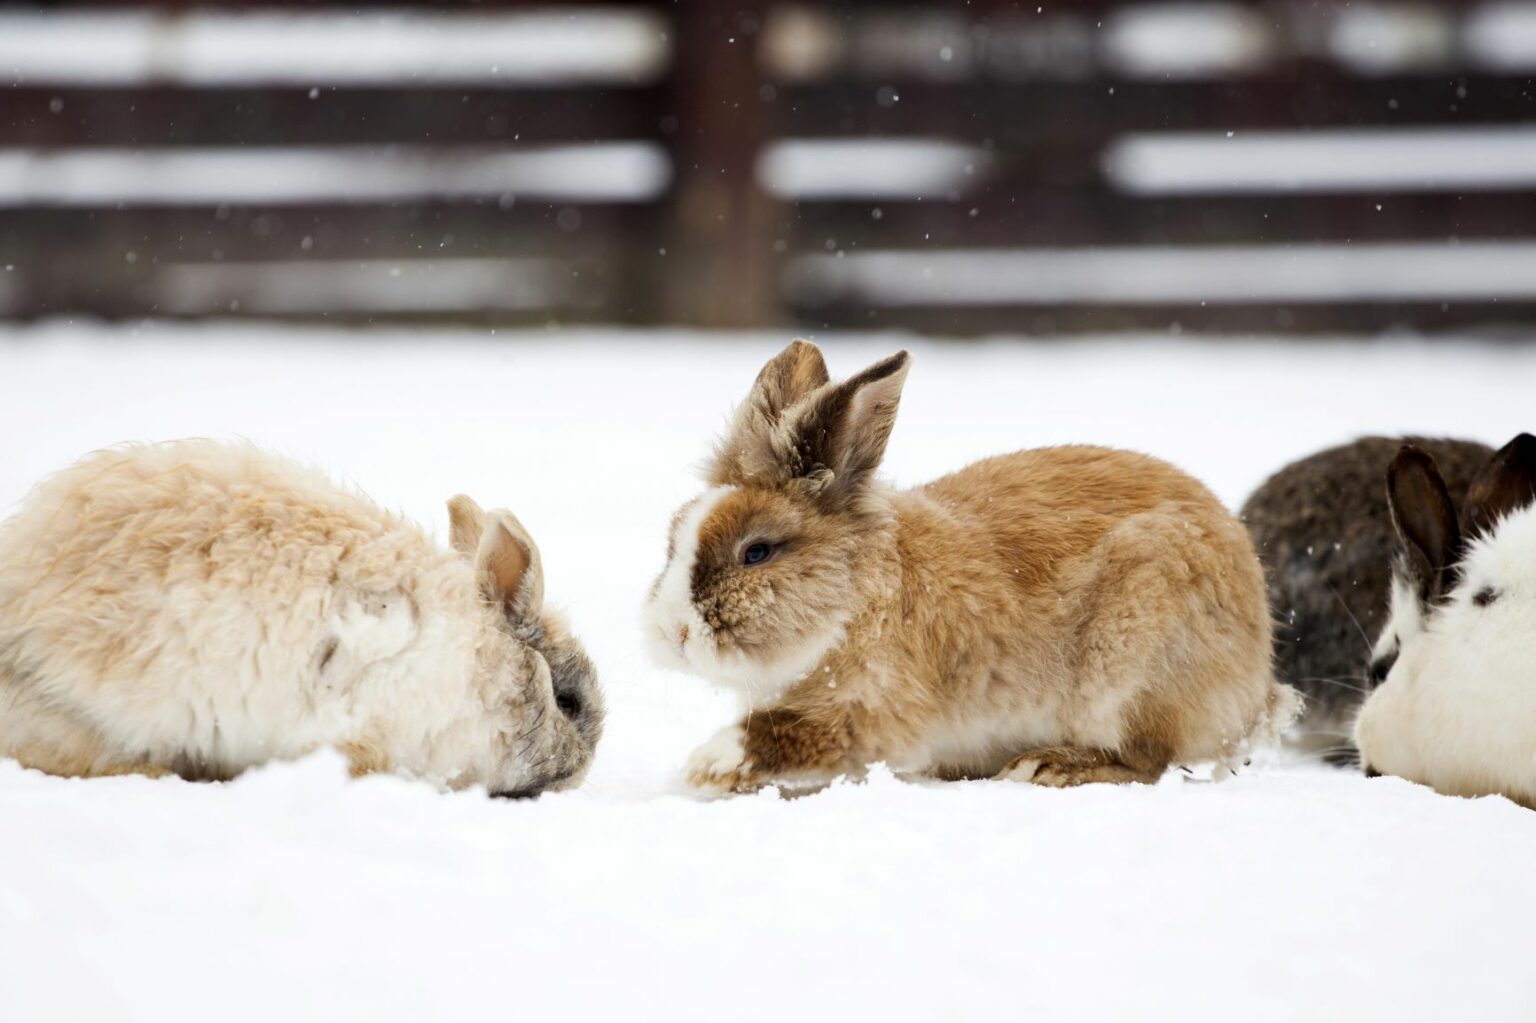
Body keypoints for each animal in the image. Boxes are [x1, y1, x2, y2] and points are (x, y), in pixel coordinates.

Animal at [642, 337, 1290, 792]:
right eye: (674, 539)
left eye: (756, 551)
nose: (671, 633)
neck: (854, 603)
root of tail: (1257, 684)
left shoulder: (873, 716)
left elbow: (790, 736)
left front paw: (708, 765)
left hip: (1133, 667)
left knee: (1147, 759)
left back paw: (1046, 767)